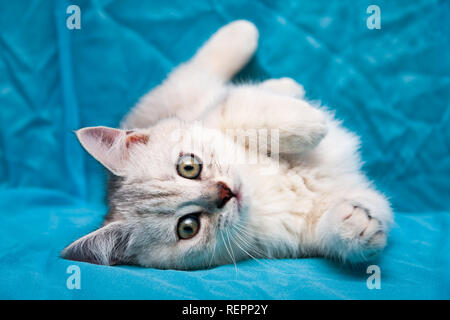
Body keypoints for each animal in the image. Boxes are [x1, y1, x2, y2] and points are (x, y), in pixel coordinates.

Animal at [61, 20, 392, 270]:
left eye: (188, 166)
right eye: (188, 227)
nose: (225, 193)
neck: (261, 191)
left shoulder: (216, 115)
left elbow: (246, 115)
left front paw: (312, 122)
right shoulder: (300, 235)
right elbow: (337, 225)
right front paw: (356, 226)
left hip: (181, 91)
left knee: (205, 71)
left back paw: (259, 50)